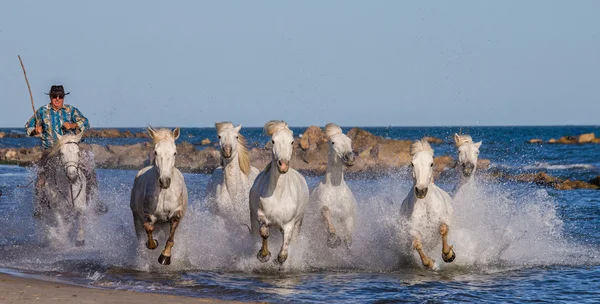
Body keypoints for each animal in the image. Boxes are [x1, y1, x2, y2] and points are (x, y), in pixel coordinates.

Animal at [131, 127, 188, 264]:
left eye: (175, 153)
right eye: (156, 152)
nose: (164, 181)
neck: (164, 193)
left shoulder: (176, 214)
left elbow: (170, 238)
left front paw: (165, 257)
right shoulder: (148, 214)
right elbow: (148, 228)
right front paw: (153, 244)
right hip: (136, 217)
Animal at [248, 120, 310, 264]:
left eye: (292, 142)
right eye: (273, 141)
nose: (283, 165)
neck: (278, 195)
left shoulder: (289, 224)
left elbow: (284, 252)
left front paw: (279, 260)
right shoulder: (261, 215)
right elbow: (264, 232)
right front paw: (264, 255)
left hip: (299, 222)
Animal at [400, 140, 458, 268]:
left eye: (431, 164)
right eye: (412, 164)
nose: (421, 190)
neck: (425, 205)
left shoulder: (445, 220)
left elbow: (443, 229)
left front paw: (449, 255)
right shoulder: (413, 230)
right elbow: (417, 244)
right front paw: (429, 262)